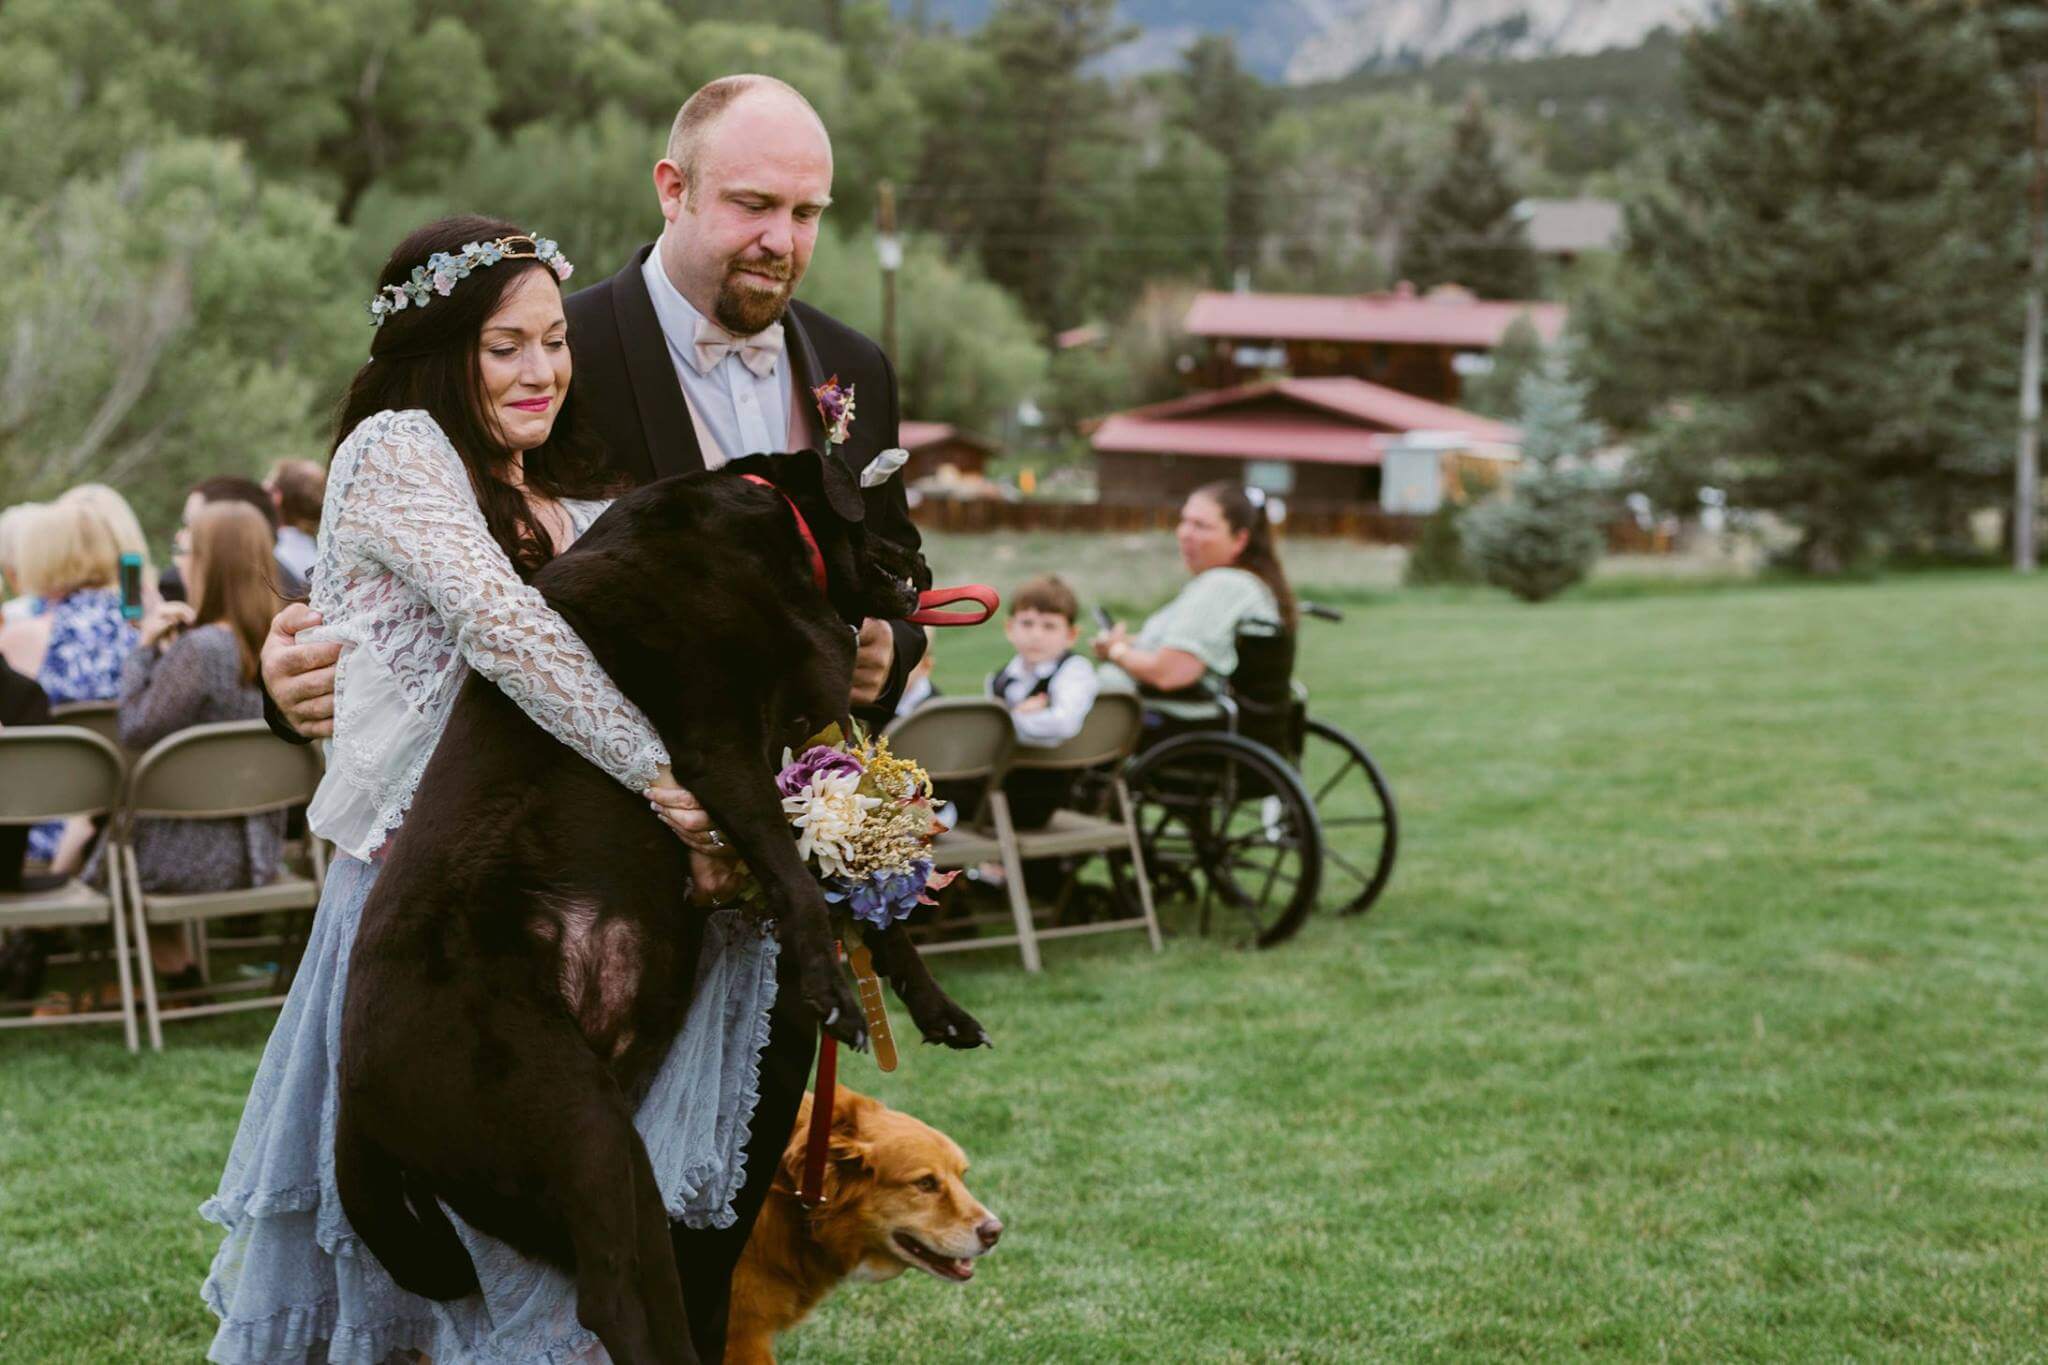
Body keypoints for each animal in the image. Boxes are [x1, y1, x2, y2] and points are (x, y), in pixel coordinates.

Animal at [337, 450, 991, 1365]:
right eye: (892, 503)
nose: (926, 559)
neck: (768, 527)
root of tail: (351, 1097)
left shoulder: (811, 740)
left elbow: (869, 907)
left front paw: (934, 1006)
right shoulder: (723, 751)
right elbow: (800, 881)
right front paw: (831, 990)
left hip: (600, 1161)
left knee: (648, 1285)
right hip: (576, 1125)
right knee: (614, 1300)